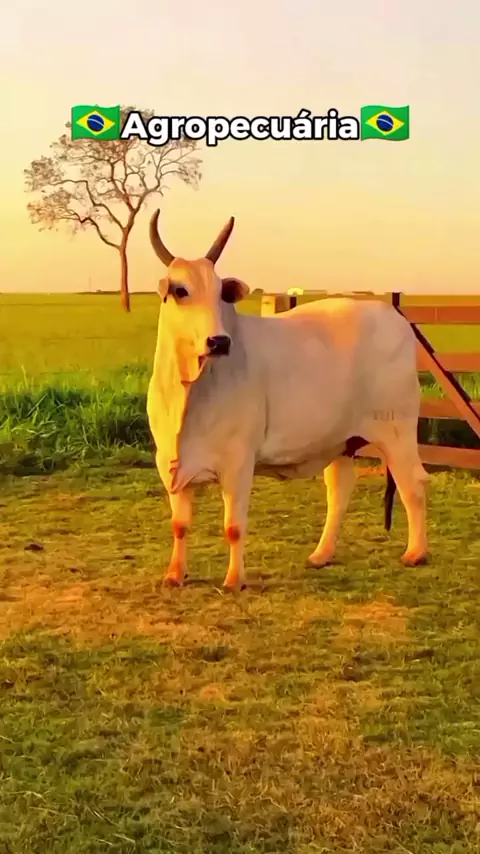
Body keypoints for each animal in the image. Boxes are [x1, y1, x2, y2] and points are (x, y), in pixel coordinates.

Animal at [146, 210, 429, 591]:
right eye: (180, 291)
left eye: (221, 293)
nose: (219, 341)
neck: (190, 391)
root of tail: (394, 317)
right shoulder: (170, 464)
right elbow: (179, 525)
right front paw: (175, 575)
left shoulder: (238, 463)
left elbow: (234, 527)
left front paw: (234, 580)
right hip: (340, 441)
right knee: (340, 490)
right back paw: (321, 555)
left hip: (397, 431)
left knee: (413, 483)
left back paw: (416, 553)